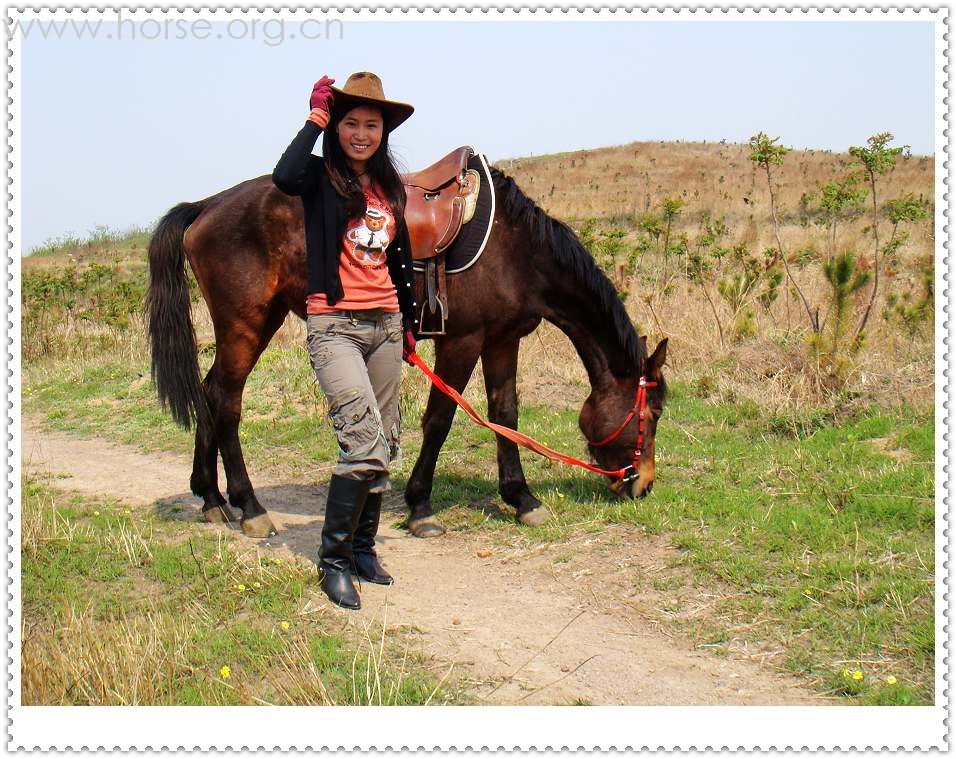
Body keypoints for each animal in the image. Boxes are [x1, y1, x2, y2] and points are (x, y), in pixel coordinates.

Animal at [146, 161, 668, 540]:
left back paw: (211, 499)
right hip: (246, 324)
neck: (516, 249)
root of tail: (209, 204)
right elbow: (439, 421)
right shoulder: (462, 341)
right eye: (654, 412)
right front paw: (421, 506)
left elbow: (505, 416)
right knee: (225, 400)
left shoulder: (502, 339)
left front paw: (522, 499)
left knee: (209, 392)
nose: (643, 484)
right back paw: (248, 506)